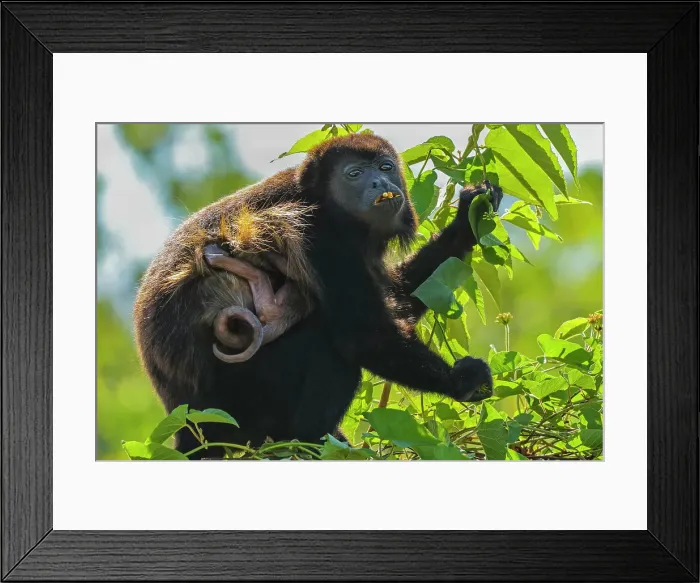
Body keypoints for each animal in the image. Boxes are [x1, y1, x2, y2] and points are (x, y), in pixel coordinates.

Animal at [133, 133, 503, 457]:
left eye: (385, 167)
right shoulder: (319, 235)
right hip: (238, 404)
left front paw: (468, 221)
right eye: (354, 174)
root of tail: (185, 421)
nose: (380, 184)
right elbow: (364, 336)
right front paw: (462, 381)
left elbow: (397, 296)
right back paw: (306, 441)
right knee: (327, 344)